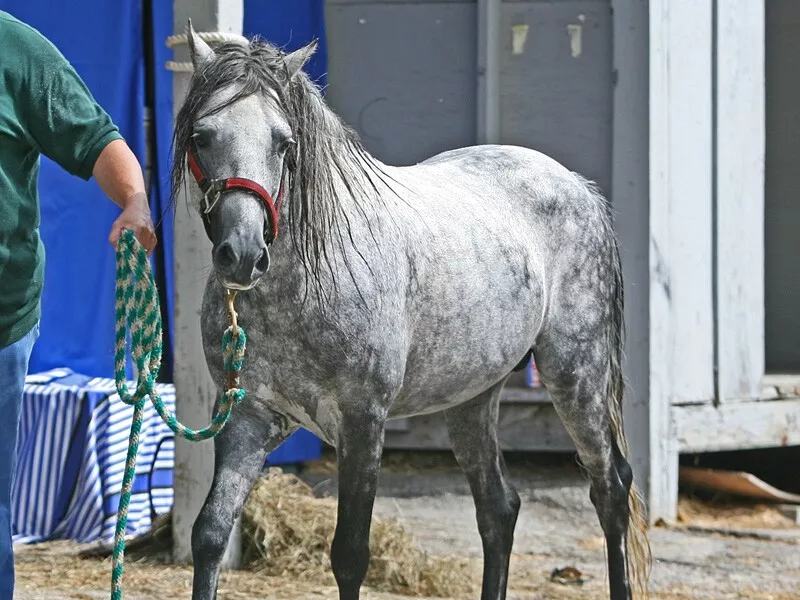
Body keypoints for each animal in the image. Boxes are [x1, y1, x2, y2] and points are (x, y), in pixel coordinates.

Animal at [175, 22, 648, 600]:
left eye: (284, 142)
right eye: (202, 136)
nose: (243, 254)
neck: (305, 284)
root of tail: (579, 185)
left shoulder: (363, 422)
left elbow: (350, 555)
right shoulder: (248, 415)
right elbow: (211, 534)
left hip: (575, 375)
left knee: (610, 488)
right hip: (472, 398)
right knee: (499, 508)